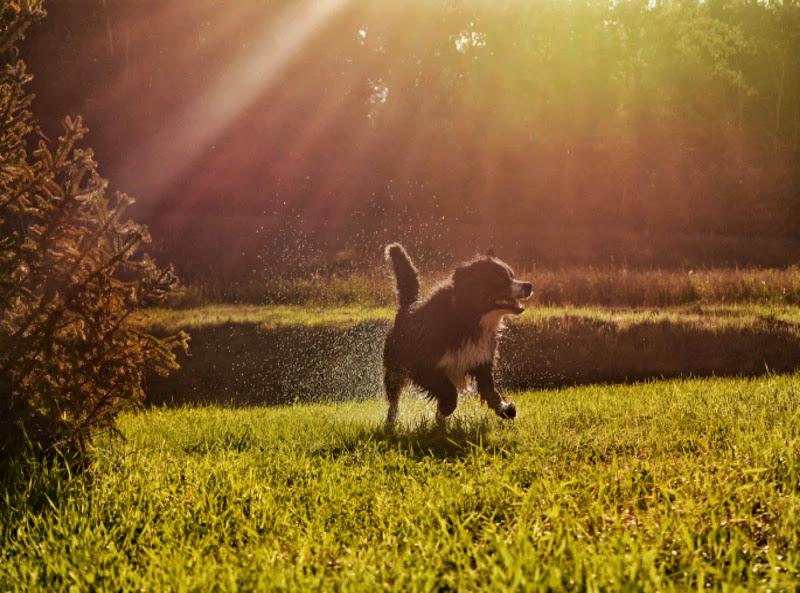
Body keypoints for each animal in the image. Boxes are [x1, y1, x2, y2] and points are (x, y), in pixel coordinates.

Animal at [382, 243, 532, 424]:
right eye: (500, 279)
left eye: (512, 276)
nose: (529, 285)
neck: (467, 319)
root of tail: (407, 307)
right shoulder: (422, 366)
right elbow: (448, 391)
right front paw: (446, 408)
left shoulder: (482, 362)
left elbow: (490, 392)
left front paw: (505, 409)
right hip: (395, 368)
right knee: (394, 399)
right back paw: (391, 421)